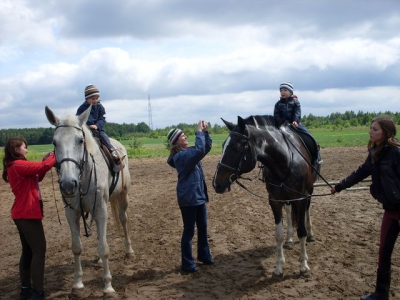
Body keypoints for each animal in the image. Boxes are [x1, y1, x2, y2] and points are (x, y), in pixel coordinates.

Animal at [44, 106, 134, 296]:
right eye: (54, 142)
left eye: (80, 140)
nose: (68, 184)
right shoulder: (72, 213)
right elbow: (77, 247)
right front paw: (77, 284)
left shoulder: (101, 209)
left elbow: (104, 248)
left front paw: (108, 286)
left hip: (123, 196)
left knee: (123, 220)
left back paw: (129, 251)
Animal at [212, 115, 318, 276]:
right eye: (223, 145)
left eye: (236, 148)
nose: (216, 184)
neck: (286, 161)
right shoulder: (275, 201)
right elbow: (278, 234)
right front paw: (279, 266)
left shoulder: (301, 198)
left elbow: (301, 231)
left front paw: (303, 265)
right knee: (289, 212)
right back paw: (289, 239)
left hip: (308, 193)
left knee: (307, 212)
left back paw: (310, 234)